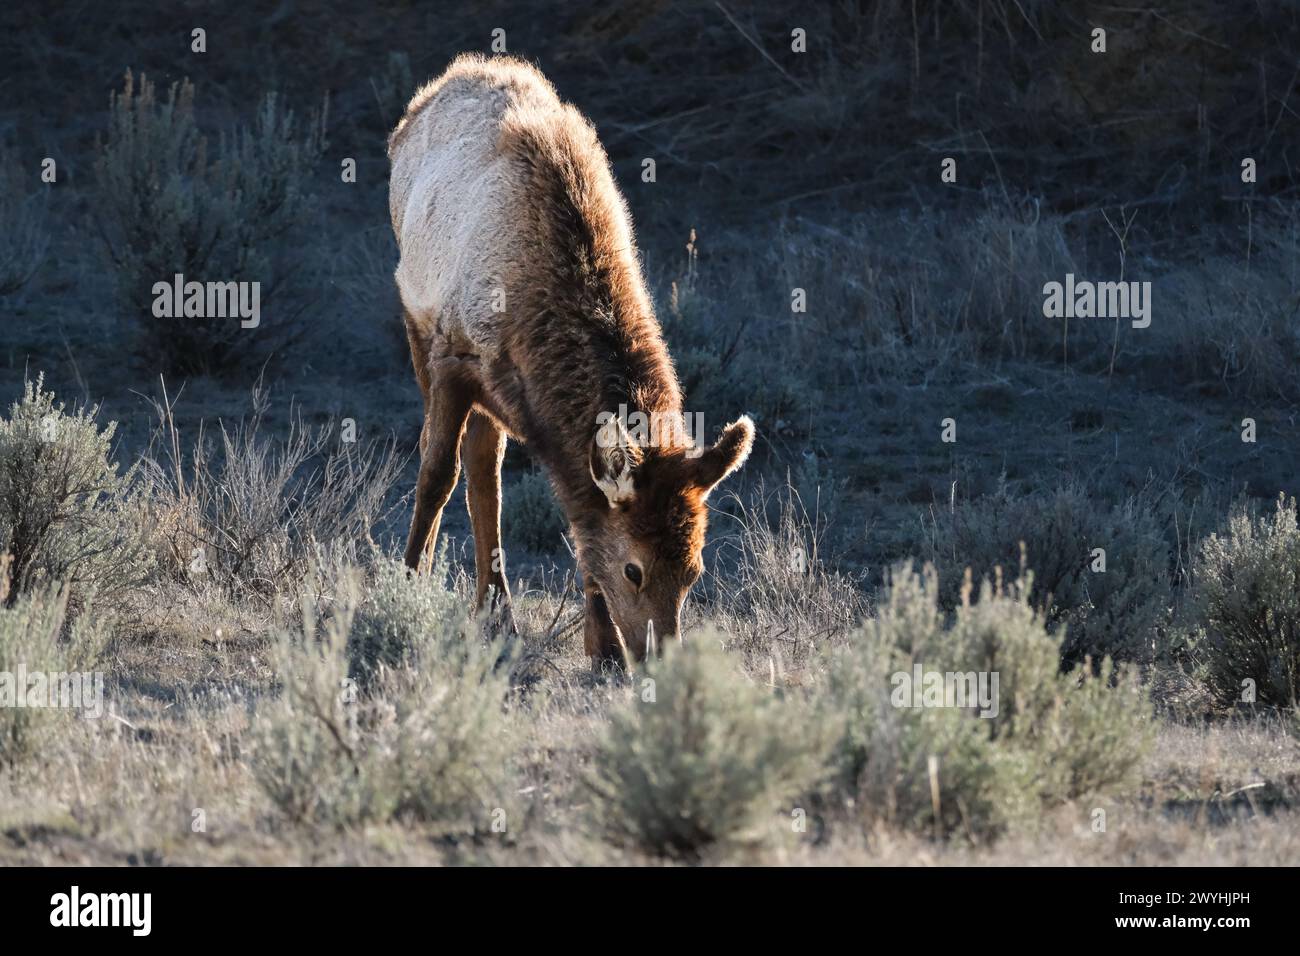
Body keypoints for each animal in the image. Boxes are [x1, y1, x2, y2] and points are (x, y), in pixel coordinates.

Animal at [384, 52, 754, 665]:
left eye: (694, 572)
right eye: (633, 570)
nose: (657, 657)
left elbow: (577, 513)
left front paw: (601, 647)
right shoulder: (453, 355)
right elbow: (436, 473)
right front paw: (402, 586)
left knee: (486, 472)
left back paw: (497, 612)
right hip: (415, 320)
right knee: (452, 462)